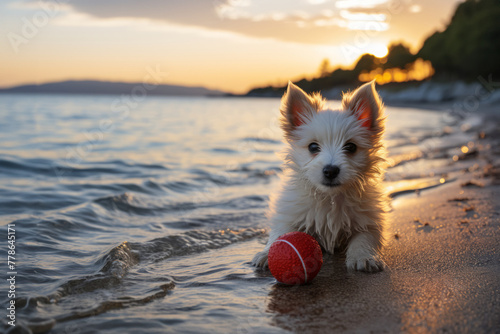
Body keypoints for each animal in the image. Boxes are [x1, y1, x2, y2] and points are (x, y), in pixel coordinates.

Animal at [252, 81, 388, 272]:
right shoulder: (289, 215)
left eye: (351, 147)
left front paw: (364, 257)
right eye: (313, 147)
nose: (330, 170)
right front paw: (267, 253)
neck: (330, 198)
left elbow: (364, 239)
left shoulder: (369, 222)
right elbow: (280, 233)